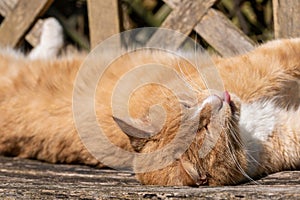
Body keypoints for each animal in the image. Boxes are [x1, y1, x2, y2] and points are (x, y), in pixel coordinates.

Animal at [0, 18, 298, 187]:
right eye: (204, 129)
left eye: (188, 107)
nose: (217, 98)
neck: (247, 132)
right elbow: (286, 49)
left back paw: (51, 28)